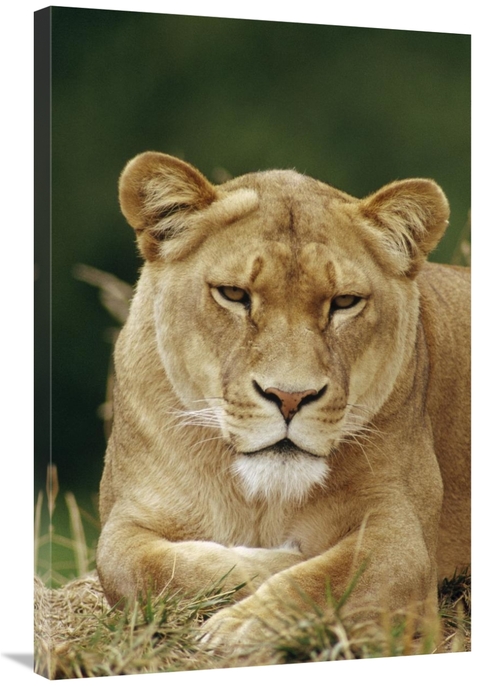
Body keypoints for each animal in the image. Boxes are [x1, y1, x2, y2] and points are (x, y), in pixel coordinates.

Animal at [96, 152, 470, 655]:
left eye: (345, 302)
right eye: (234, 294)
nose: (291, 397)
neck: (261, 500)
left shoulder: (404, 535)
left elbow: (331, 579)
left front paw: (240, 627)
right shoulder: (126, 520)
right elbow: (138, 567)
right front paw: (273, 562)